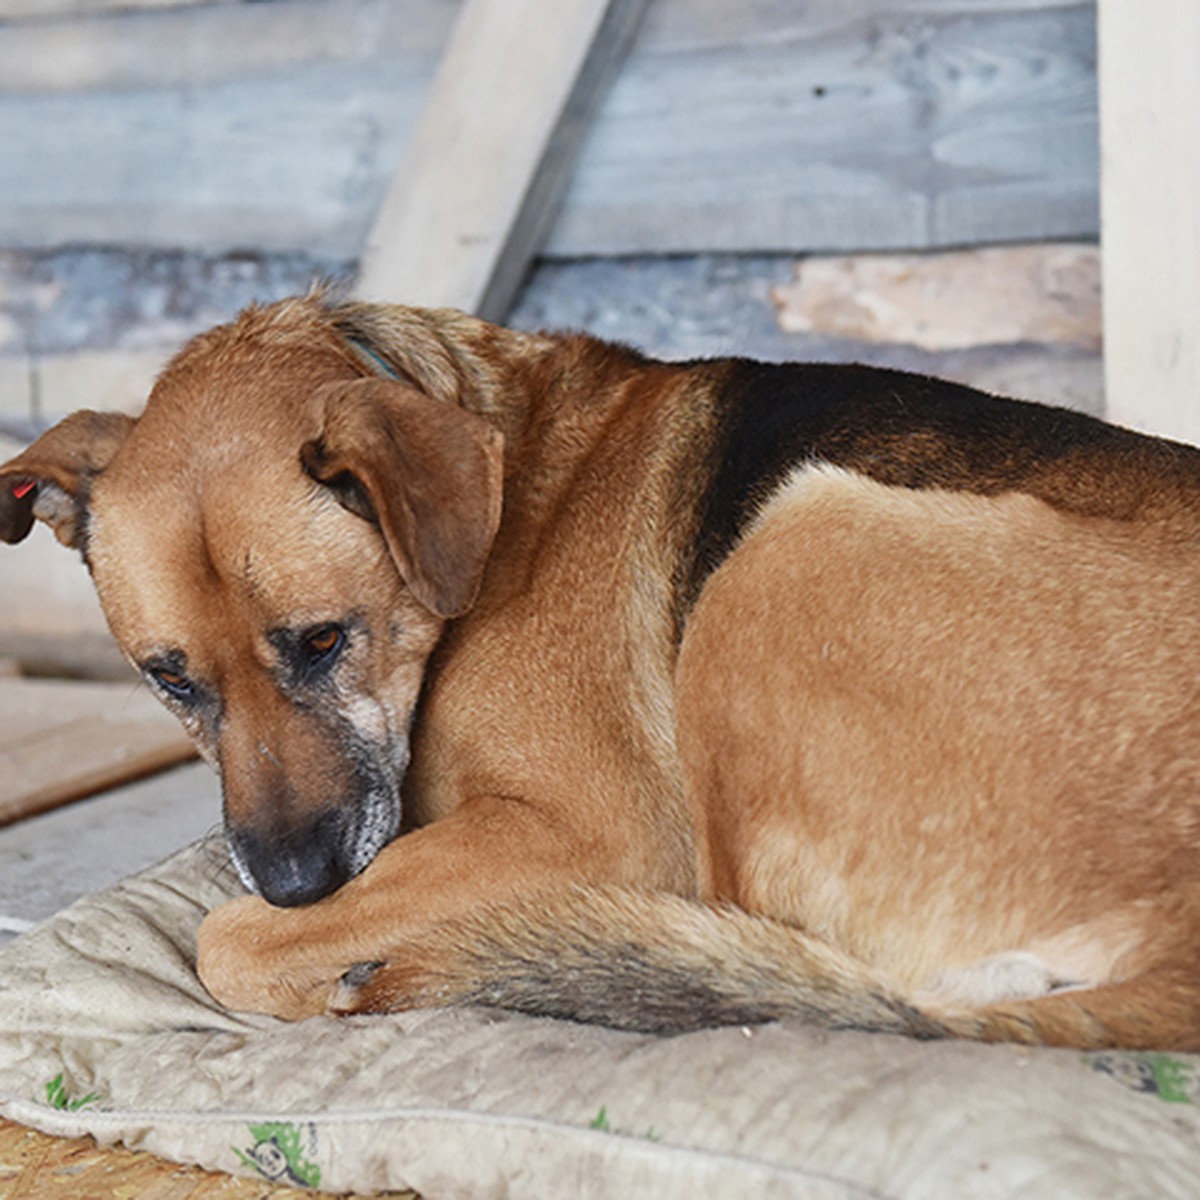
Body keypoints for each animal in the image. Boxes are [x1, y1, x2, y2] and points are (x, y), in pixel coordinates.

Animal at [2, 292, 1200, 1051]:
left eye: (323, 641)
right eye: (170, 681)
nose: (298, 882)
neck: (495, 508)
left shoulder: (593, 830)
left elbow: (223, 940)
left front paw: (310, 948)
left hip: (790, 543)